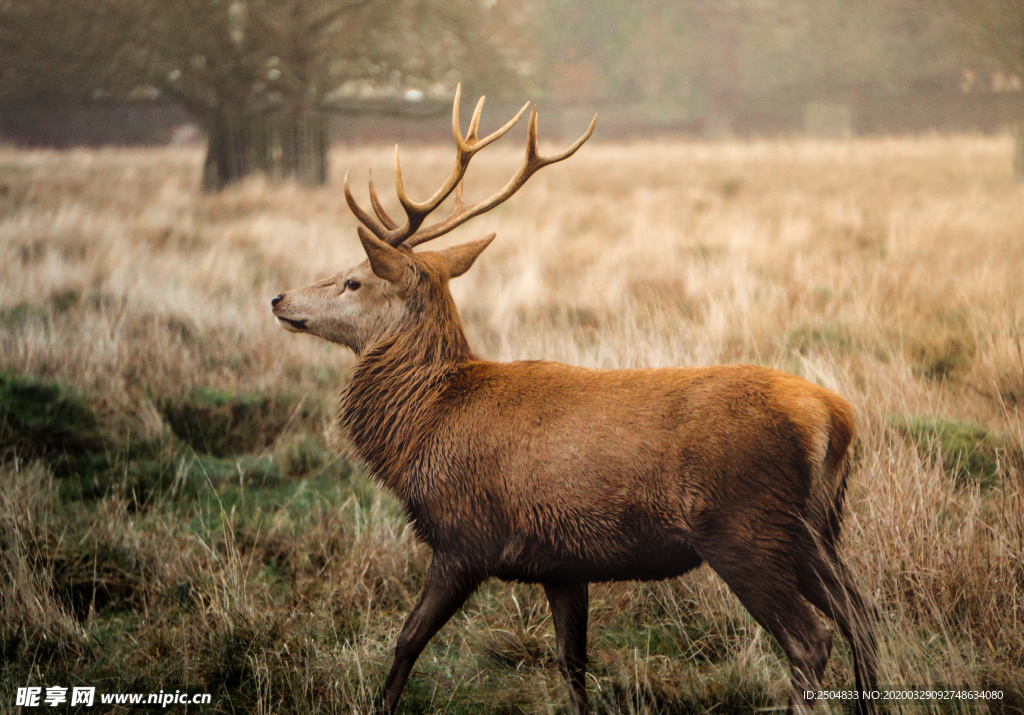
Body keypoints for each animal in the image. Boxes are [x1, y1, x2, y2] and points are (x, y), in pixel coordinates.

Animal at [272, 86, 880, 708]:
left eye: (354, 280)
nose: (279, 299)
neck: (425, 425)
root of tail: (834, 418)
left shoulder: (465, 535)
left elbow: (405, 645)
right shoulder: (561, 562)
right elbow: (573, 664)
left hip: (745, 526)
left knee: (812, 638)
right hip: (817, 527)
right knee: (863, 616)